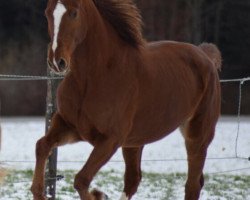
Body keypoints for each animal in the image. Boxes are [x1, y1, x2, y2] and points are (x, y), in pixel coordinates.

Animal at [30, 0, 221, 200]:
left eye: (74, 13)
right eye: (47, 13)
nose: (56, 62)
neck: (94, 77)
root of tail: (205, 55)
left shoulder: (110, 140)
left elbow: (81, 179)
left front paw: (98, 194)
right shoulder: (69, 126)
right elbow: (41, 146)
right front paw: (39, 192)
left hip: (198, 136)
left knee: (192, 185)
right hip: (135, 142)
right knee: (133, 180)